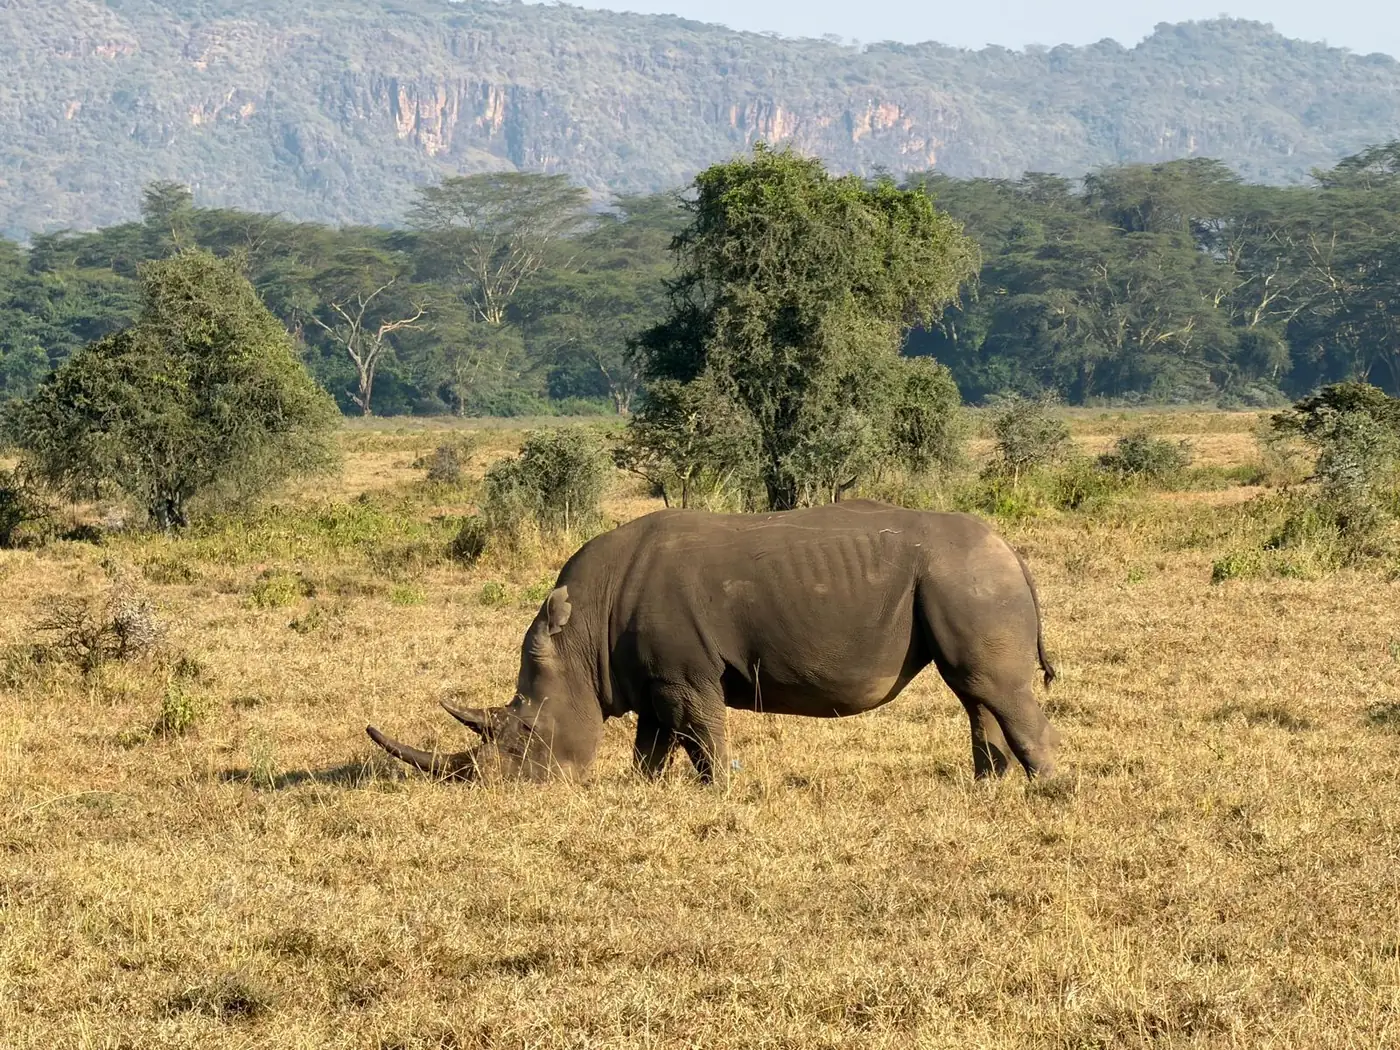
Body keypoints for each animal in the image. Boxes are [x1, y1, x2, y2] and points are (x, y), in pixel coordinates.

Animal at [366, 500, 1060, 784]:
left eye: (524, 739)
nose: (496, 791)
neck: (580, 637)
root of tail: (1011, 550)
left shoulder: (686, 671)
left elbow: (702, 733)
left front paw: (717, 789)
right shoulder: (650, 674)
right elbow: (653, 743)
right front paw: (646, 792)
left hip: (967, 580)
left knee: (995, 688)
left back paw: (1047, 790)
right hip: (962, 580)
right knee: (972, 690)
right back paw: (988, 787)